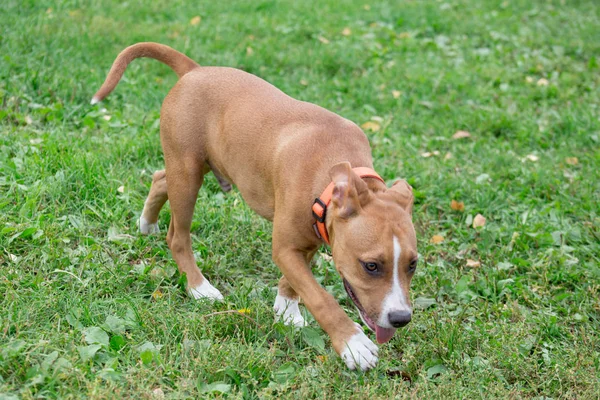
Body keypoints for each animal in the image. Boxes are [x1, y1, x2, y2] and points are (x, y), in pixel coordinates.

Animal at [92, 42, 418, 370]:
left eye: (413, 264)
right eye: (371, 266)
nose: (401, 319)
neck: (332, 171)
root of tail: (194, 71)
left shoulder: (307, 239)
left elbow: (295, 283)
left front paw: (287, 312)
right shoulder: (287, 247)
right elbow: (320, 297)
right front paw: (353, 344)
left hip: (192, 167)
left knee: (160, 179)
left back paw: (147, 223)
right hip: (187, 173)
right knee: (178, 236)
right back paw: (199, 288)